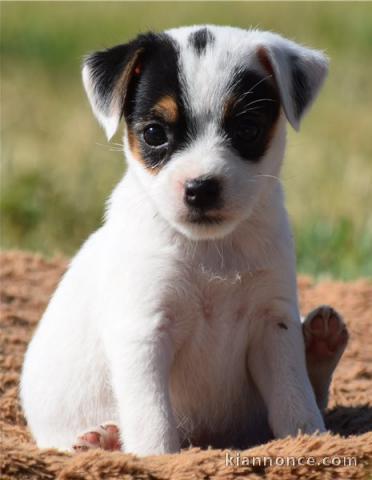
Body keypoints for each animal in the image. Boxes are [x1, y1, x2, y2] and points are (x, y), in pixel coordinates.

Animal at [20, 25, 348, 454]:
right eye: (154, 133)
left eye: (247, 129)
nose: (201, 187)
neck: (212, 248)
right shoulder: (144, 331)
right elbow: (152, 418)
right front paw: (155, 458)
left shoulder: (272, 324)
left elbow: (295, 397)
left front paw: (306, 441)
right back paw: (100, 440)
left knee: (314, 387)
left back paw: (324, 343)